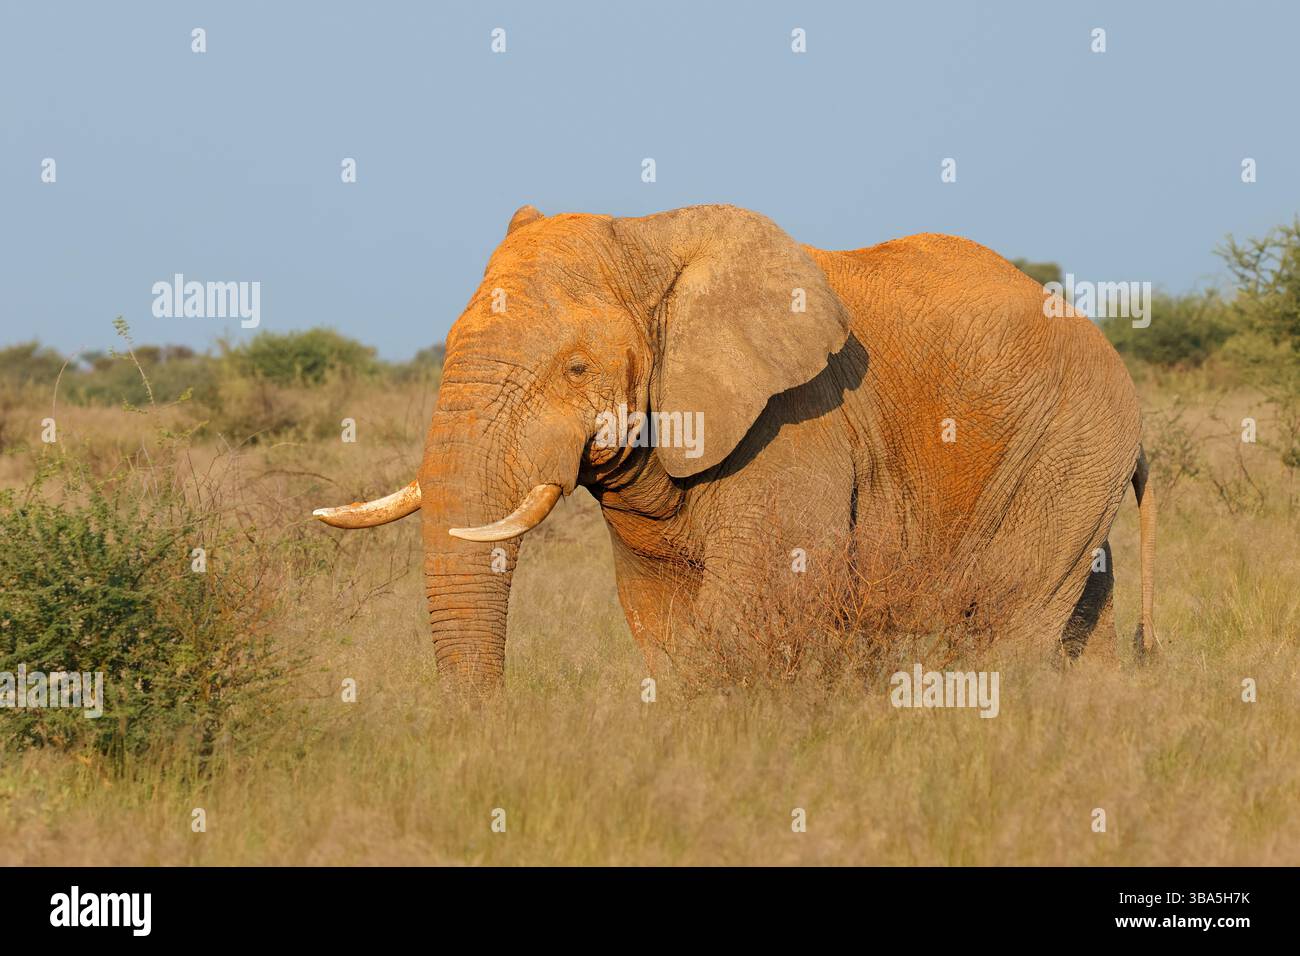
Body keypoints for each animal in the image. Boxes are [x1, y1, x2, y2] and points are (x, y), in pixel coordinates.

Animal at [312, 203, 1156, 684]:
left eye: (576, 368)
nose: (492, 733)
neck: (649, 241)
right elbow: (658, 618)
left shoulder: (799, 424)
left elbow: (750, 607)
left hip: (1068, 447)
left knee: (1015, 623)